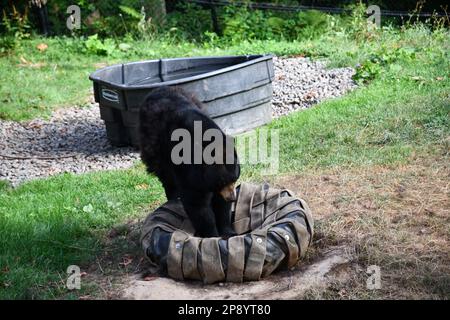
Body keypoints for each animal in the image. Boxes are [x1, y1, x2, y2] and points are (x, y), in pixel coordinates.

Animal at [140, 86, 239, 239]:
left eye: (235, 179)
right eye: (222, 182)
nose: (233, 198)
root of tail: (157, 89)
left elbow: (220, 204)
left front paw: (228, 231)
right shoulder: (187, 169)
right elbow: (197, 204)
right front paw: (211, 234)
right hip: (154, 149)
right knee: (166, 177)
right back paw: (172, 198)